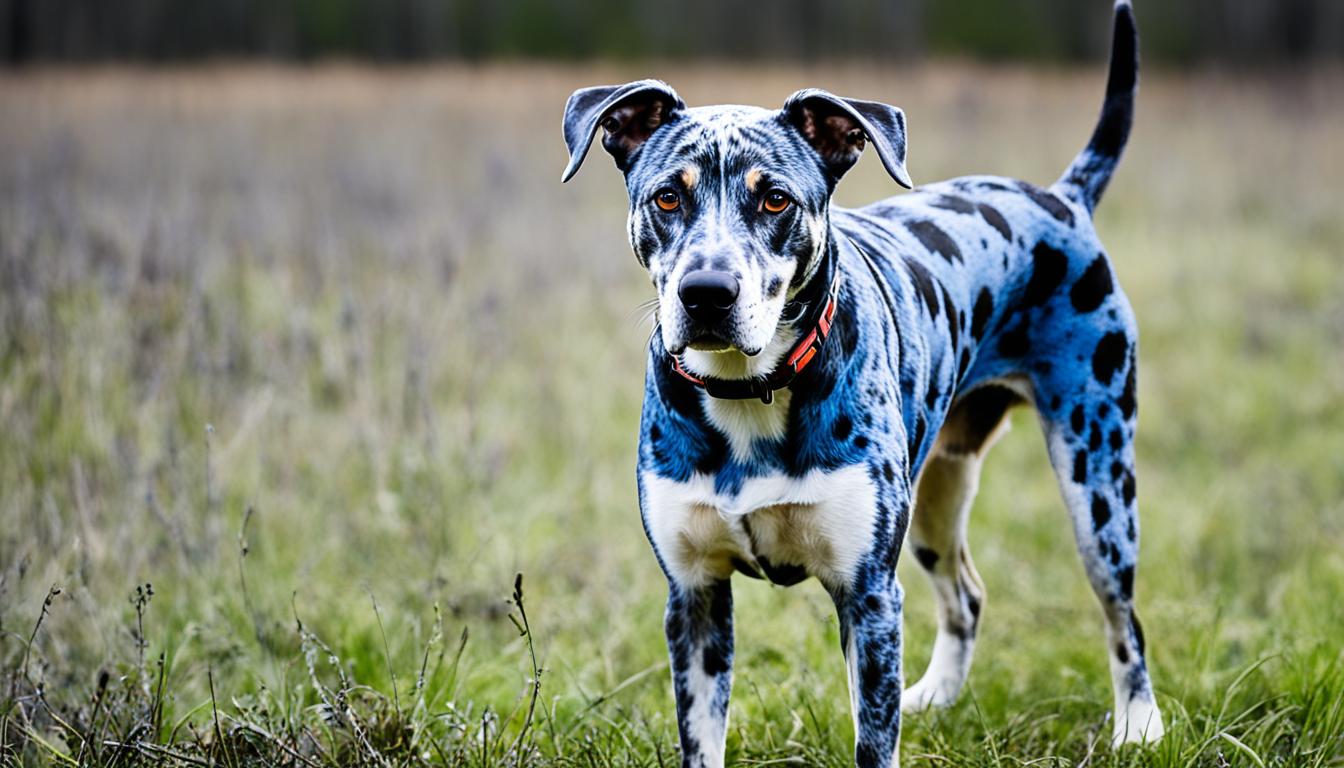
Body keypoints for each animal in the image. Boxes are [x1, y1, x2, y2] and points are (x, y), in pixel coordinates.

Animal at [561, 3, 1161, 763]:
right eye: (668, 197)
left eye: (776, 200)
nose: (706, 293)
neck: (749, 393)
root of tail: (1062, 199)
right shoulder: (694, 596)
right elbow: (702, 734)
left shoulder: (869, 593)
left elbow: (875, 736)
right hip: (939, 490)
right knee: (966, 595)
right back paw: (937, 695)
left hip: (1099, 482)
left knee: (1122, 614)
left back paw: (1139, 724)